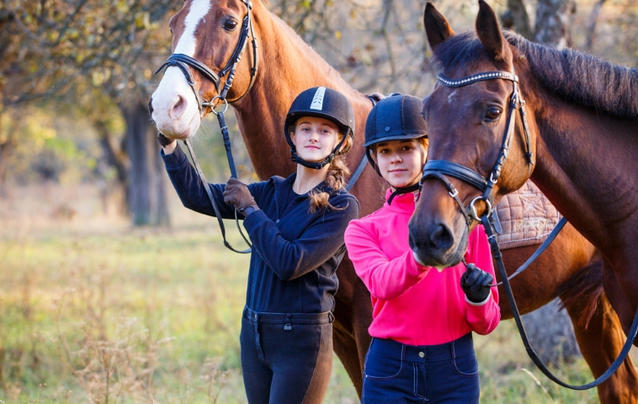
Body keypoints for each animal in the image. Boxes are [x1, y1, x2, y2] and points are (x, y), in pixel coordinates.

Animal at [148, 0, 636, 400]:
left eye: (229, 22)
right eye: (173, 23)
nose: (167, 107)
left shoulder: (368, 323)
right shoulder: (339, 332)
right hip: (589, 300)